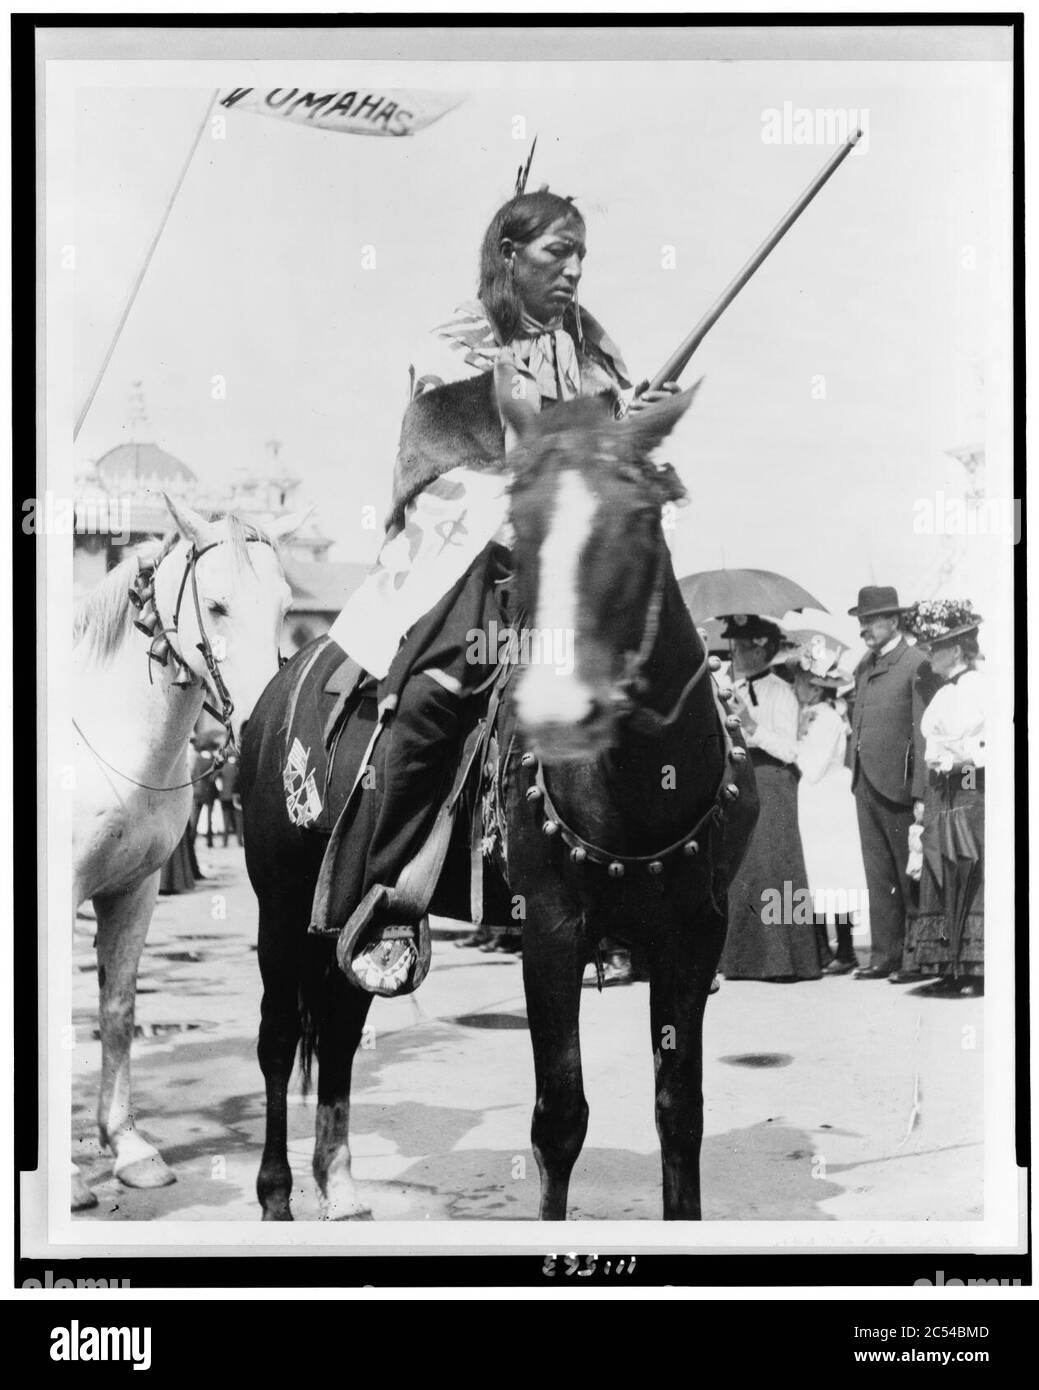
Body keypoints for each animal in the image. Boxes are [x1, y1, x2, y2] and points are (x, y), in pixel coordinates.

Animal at [70, 497, 296, 1206]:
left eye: (284, 606)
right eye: (216, 606)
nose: (263, 727)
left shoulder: (133, 890)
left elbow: (118, 1010)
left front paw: (128, 1147)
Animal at [243, 386, 762, 1223]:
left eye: (639, 518)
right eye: (516, 532)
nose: (558, 714)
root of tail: (282, 681)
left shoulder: (695, 932)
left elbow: (679, 1113)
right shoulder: (549, 929)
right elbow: (560, 1119)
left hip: (341, 913)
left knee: (341, 1029)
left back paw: (341, 1184)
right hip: (281, 904)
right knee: (279, 1037)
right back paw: (276, 1194)